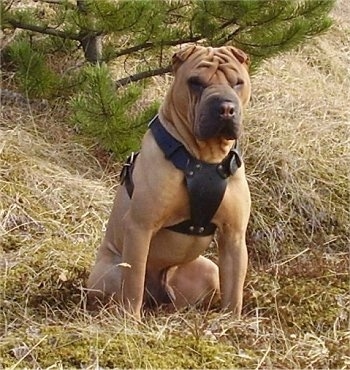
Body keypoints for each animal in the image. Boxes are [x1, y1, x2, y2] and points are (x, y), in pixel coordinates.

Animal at [87, 44, 252, 320]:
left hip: (208, 270)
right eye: (195, 82)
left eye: (238, 82)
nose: (226, 108)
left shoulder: (234, 235)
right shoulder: (140, 227)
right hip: (111, 271)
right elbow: (133, 285)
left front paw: (231, 322)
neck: (204, 157)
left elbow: (234, 293)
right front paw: (131, 321)